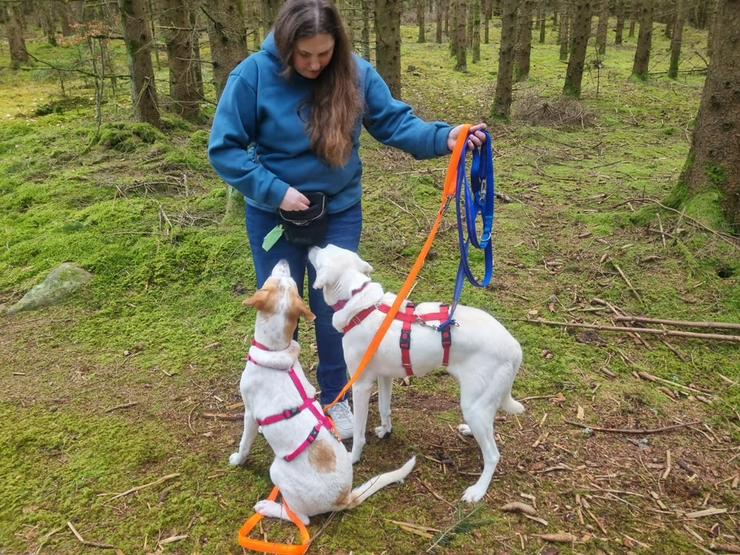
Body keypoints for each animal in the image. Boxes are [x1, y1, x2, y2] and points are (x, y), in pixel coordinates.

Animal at [230, 260, 416, 524]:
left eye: (274, 280)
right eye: (290, 283)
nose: (284, 261)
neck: (276, 349)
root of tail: (344, 497)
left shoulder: (249, 413)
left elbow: (244, 444)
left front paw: (237, 460)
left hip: (277, 471)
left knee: (301, 519)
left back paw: (269, 507)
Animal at [310, 244, 524, 504]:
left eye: (322, 252)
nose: (312, 246)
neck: (361, 305)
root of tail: (514, 347)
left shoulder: (361, 384)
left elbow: (359, 432)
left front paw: (353, 458)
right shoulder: (385, 376)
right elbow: (384, 407)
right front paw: (385, 431)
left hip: (474, 405)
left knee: (493, 455)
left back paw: (477, 490)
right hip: (481, 405)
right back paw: (469, 431)